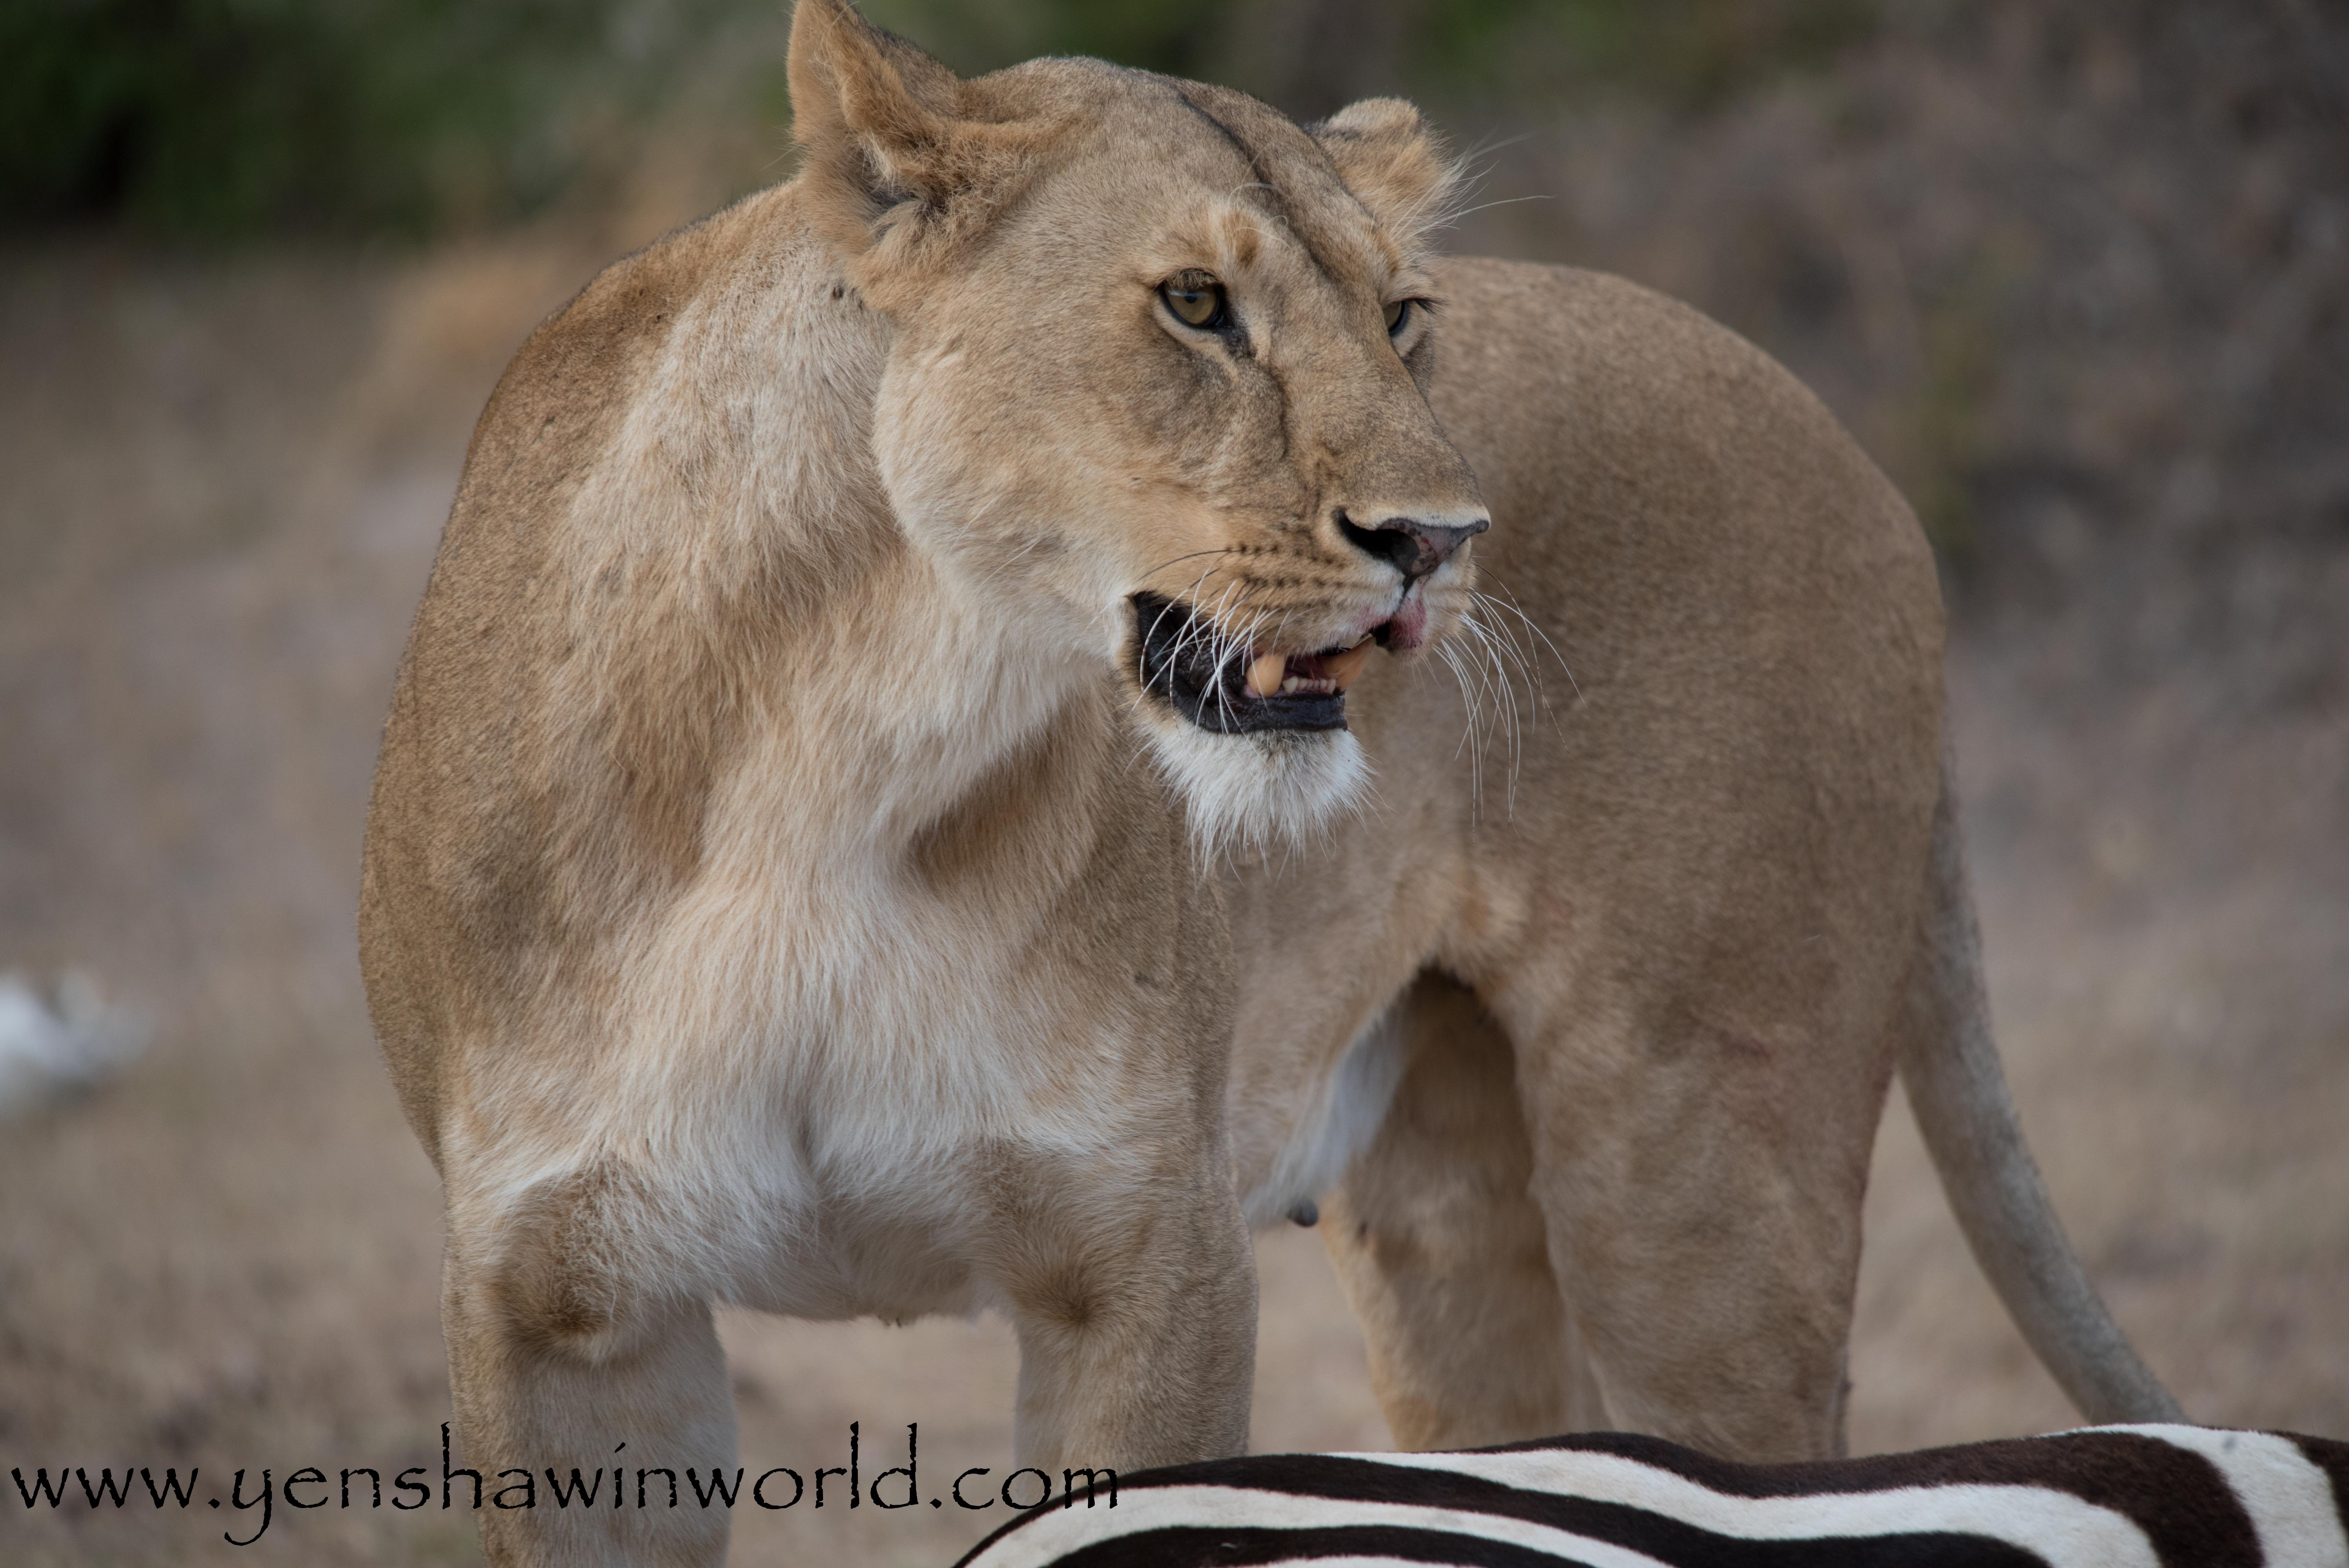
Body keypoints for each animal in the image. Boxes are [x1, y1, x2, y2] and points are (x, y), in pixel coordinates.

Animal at [357, 2, 2180, 1561]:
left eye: (1402, 315)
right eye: (1193, 307)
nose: (1438, 542)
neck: (839, 751)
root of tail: (1863, 459)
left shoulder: (1148, 1262)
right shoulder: (556, 1301)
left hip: (1702, 1197)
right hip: (1453, 1225)